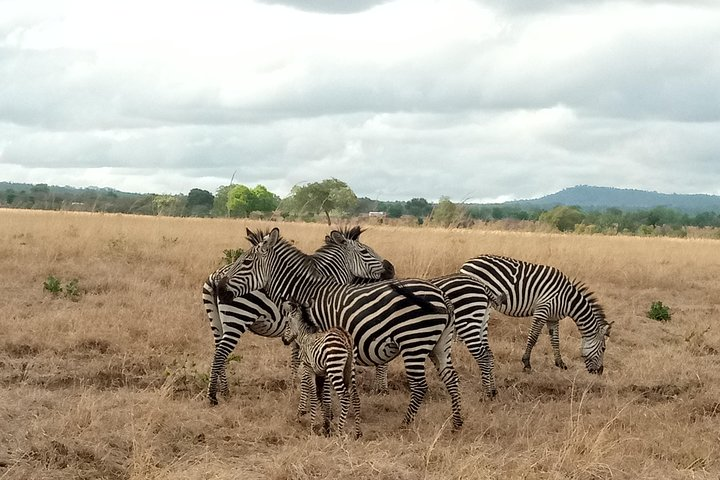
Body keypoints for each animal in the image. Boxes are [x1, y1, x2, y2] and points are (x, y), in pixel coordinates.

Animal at [202, 226, 394, 405]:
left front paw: (295, 384)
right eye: (365, 252)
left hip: (218, 323)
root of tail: (216, 276)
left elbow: (297, 356)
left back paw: (224, 391)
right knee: (221, 353)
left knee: (218, 351)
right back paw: (213, 396)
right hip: (237, 318)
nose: (391, 269)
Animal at [281, 300, 361, 439]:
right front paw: (326, 425)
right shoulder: (323, 373)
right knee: (355, 397)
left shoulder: (308, 368)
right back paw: (357, 433)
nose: (284, 340)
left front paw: (312, 427)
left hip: (335, 368)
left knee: (345, 396)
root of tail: (345, 336)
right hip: (349, 369)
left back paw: (339, 432)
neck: (305, 336)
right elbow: (324, 397)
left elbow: (312, 395)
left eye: (287, 323)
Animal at [460, 254, 612, 374]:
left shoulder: (553, 318)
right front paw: (526, 364)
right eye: (603, 348)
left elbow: (555, 340)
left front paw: (560, 363)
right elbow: (533, 338)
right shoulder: (542, 310)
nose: (600, 372)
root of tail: (468, 262)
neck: (568, 299)